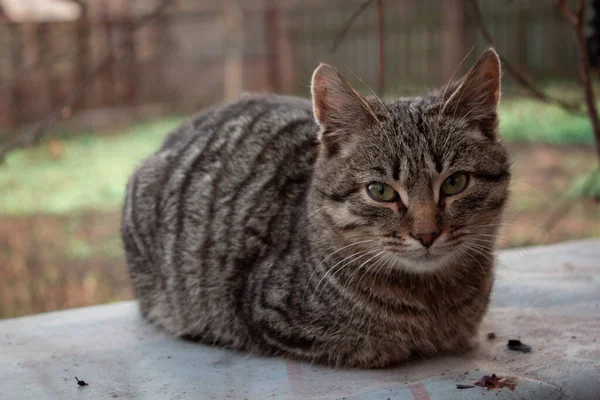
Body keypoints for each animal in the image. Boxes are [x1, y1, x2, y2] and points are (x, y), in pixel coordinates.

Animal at [122, 48, 510, 368]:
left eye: (455, 183)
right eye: (380, 191)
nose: (426, 234)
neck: (432, 301)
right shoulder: (270, 313)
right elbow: (370, 346)